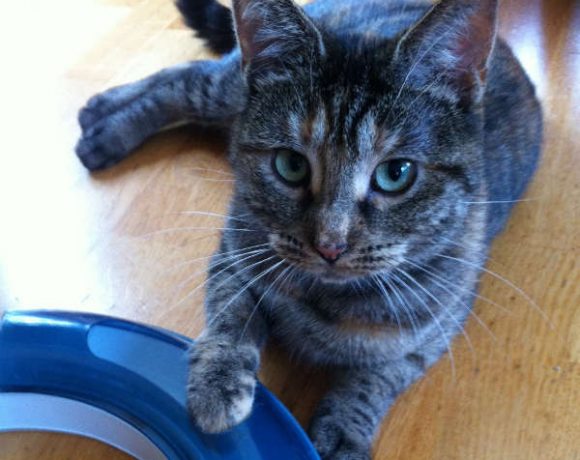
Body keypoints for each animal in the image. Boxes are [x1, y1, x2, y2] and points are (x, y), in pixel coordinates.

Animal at [76, 0, 542, 458]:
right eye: (290, 164)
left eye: (396, 173)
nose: (330, 245)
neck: (330, 299)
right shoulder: (236, 248)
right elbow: (231, 314)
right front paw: (218, 381)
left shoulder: (436, 325)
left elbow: (378, 377)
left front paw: (345, 429)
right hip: (231, 89)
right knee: (186, 79)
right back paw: (105, 124)